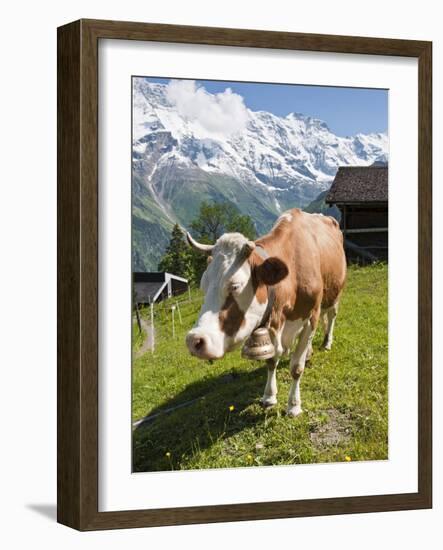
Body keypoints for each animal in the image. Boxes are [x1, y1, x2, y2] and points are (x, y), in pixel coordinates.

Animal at [184, 208, 346, 418]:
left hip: (335, 293)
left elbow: (296, 367)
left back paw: (326, 342)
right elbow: (271, 361)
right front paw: (269, 396)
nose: (194, 340)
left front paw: (293, 406)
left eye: (235, 286)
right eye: (203, 285)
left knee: (331, 316)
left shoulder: (311, 316)